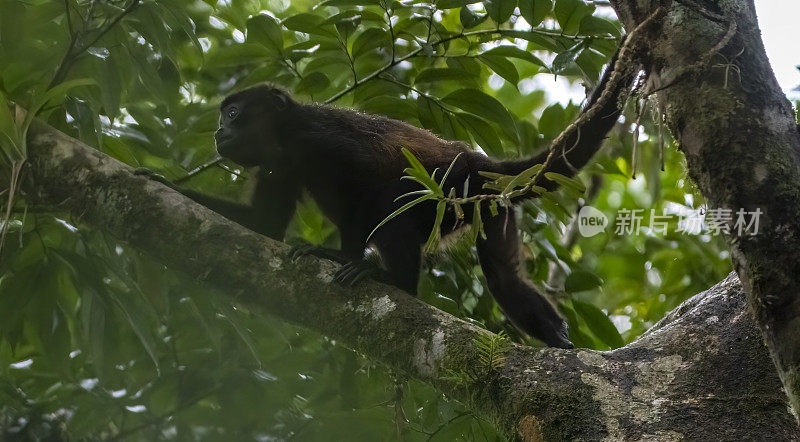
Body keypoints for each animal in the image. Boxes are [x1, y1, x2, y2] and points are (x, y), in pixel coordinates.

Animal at [144, 46, 632, 348]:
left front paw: (341, 258)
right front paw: (161, 183)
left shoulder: (319, 137)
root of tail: (477, 160)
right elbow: (262, 223)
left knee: (395, 205)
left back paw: (394, 281)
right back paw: (558, 338)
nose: (217, 132)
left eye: (231, 112)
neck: (285, 138)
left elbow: (370, 185)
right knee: (504, 278)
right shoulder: (276, 165)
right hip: (488, 206)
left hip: (451, 184)